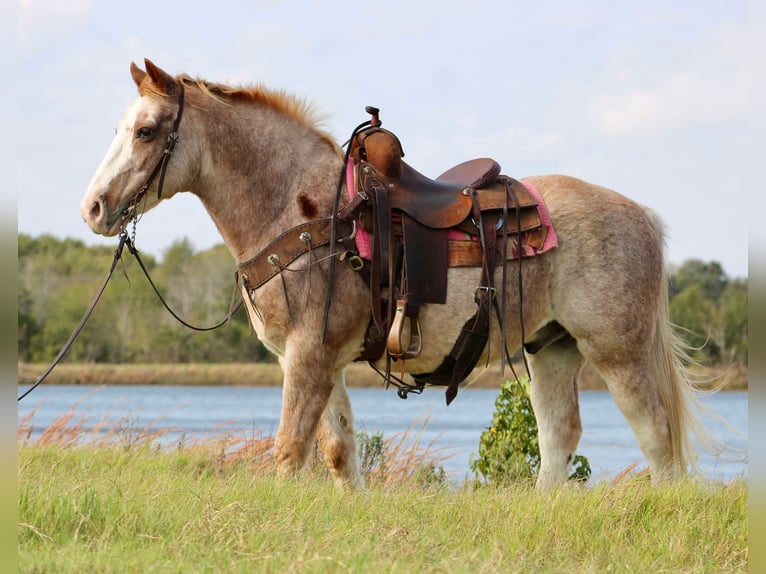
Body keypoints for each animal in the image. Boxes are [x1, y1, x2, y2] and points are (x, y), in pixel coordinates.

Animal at [78, 58, 708, 490]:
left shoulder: (307, 356)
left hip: (617, 353)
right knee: (560, 436)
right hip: (550, 349)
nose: (94, 209)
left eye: (146, 131)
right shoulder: (321, 360)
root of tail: (641, 215)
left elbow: (290, 450)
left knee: (656, 435)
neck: (304, 211)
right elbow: (338, 451)